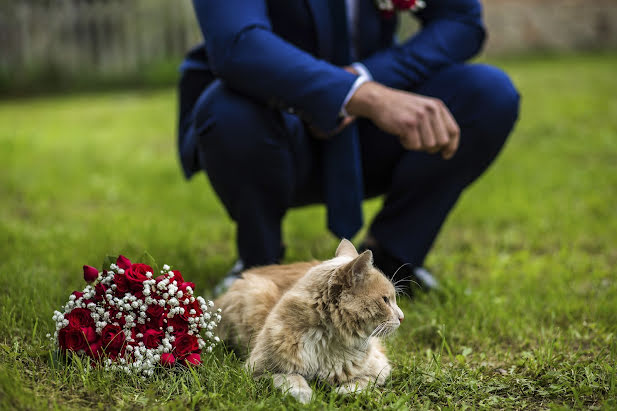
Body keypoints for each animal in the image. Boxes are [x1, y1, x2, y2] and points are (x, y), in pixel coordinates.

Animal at [215, 240, 404, 404]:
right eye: (385, 300)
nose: (402, 317)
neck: (325, 341)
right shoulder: (256, 370)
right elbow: (290, 376)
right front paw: (303, 394)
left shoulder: (380, 368)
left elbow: (360, 382)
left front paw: (341, 392)